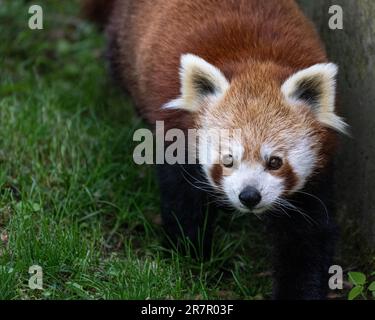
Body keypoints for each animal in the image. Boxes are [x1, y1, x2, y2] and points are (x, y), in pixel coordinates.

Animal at [83, 0, 348, 300]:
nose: (249, 196)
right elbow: (183, 203)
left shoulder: (318, 170)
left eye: (275, 162)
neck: (254, 62)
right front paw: (191, 257)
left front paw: (299, 291)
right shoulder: (179, 138)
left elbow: (307, 235)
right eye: (228, 160)